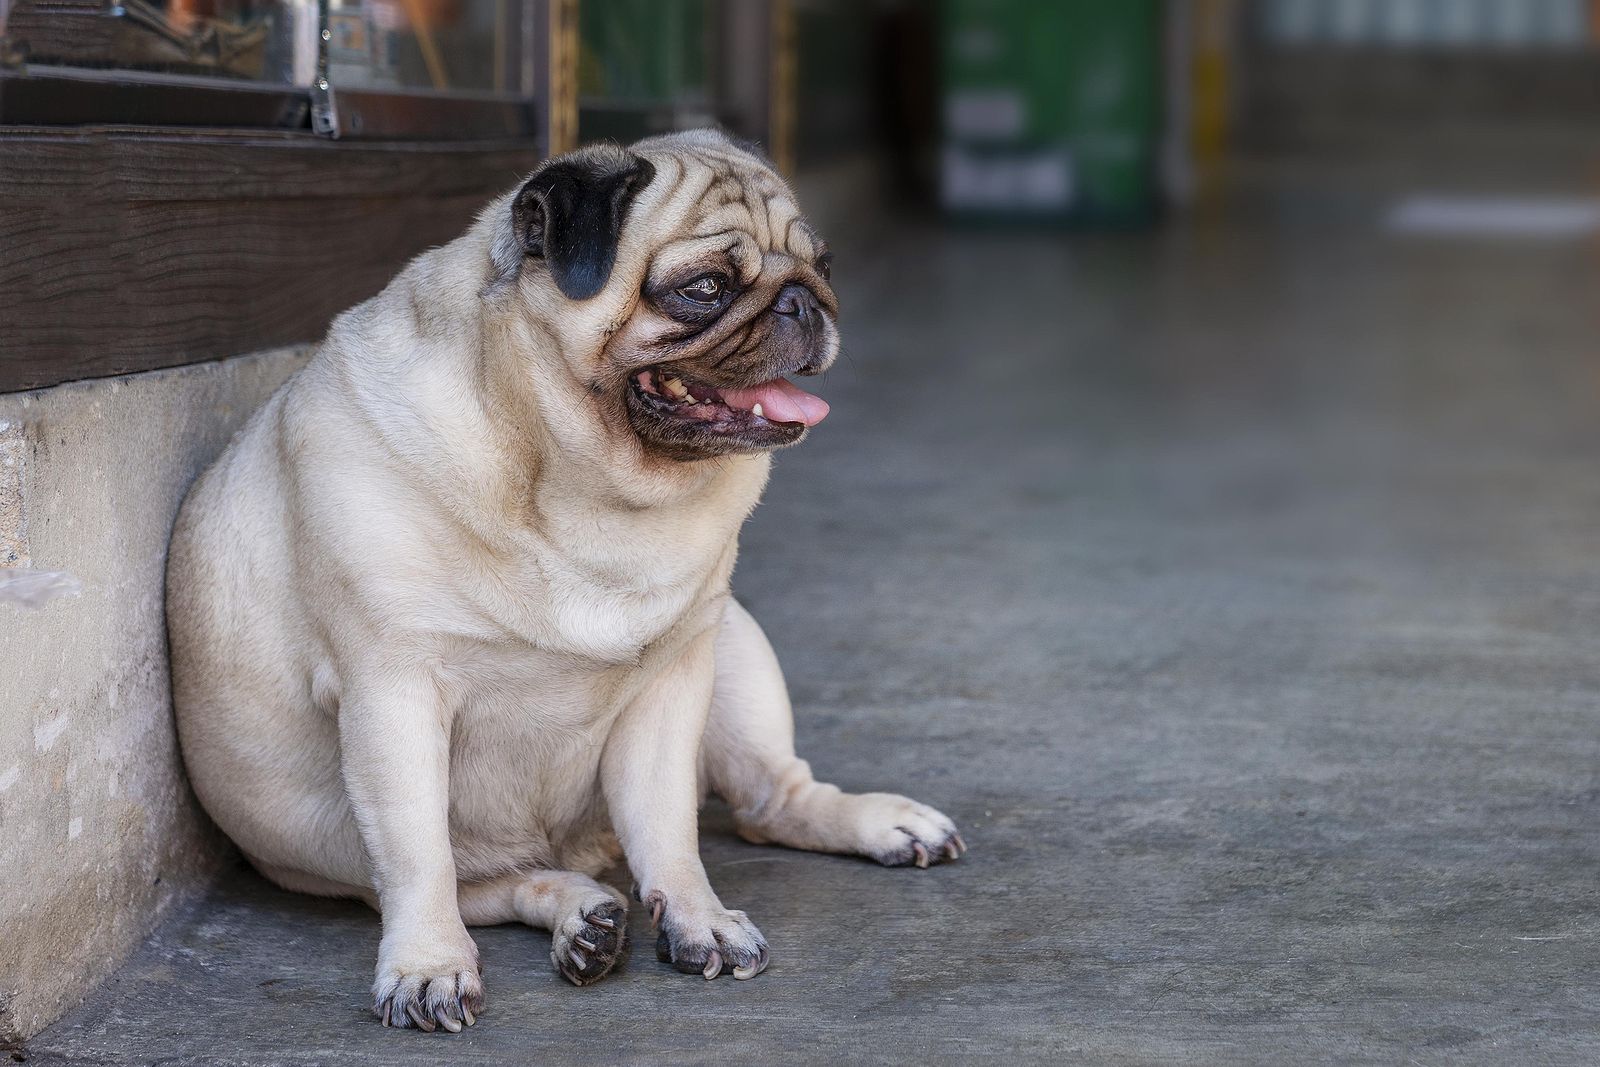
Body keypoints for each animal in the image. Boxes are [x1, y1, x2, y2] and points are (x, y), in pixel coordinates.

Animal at [165, 127, 960, 1036]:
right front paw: (426, 964)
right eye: (704, 289)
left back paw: (874, 823)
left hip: (734, 646)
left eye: (822, 264)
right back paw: (580, 915)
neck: (582, 485)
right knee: (484, 880)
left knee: (770, 802)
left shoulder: (673, 680)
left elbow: (670, 828)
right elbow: (418, 854)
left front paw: (699, 919)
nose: (806, 301)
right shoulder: (393, 693)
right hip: (349, 860)